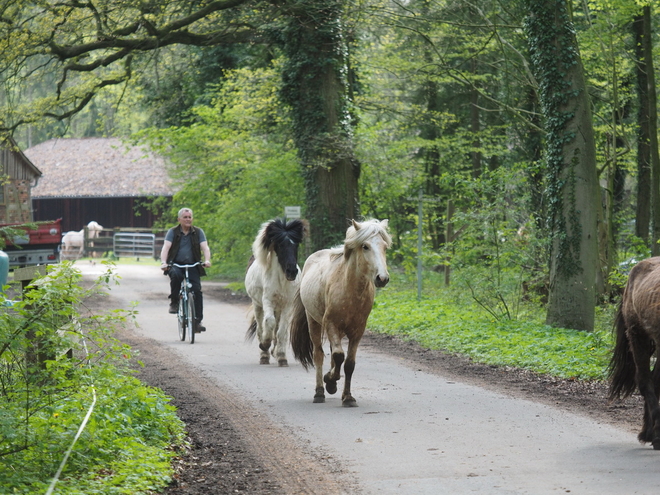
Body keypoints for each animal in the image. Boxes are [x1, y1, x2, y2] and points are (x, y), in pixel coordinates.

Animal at [246, 219, 306, 366]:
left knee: (277, 328)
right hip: (257, 305)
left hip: (278, 308)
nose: (292, 272)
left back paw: (274, 352)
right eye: (280, 244)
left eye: (296, 245)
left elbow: (282, 331)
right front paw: (265, 345)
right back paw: (264, 355)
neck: (281, 280)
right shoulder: (267, 301)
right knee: (260, 328)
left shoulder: (287, 305)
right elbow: (269, 322)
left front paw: (281, 356)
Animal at [290, 220, 392, 406]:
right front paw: (329, 380)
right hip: (313, 322)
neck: (350, 289)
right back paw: (319, 392)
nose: (382, 278)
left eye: (385, 247)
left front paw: (347, 397)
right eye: (365, 246)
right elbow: (338, 356)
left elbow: (349, 363)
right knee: (319, 354)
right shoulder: (331, 324)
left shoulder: (357, 331)